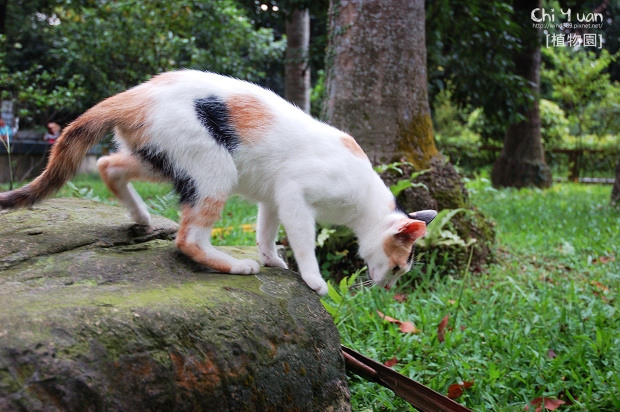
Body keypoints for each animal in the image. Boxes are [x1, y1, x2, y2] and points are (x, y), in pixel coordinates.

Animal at [0, 71, 436, 296]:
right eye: (399, 267)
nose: (388, 287)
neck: (363, 201)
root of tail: (136, 95)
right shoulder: (295, 194)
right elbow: (303, 241)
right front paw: (313, 280)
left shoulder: (274, 198)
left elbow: (266, 230)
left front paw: (272, 259)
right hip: (213, 170)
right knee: (188, 239)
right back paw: (235, 266)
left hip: (164, 159)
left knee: (109, 164)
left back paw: (141, 217)